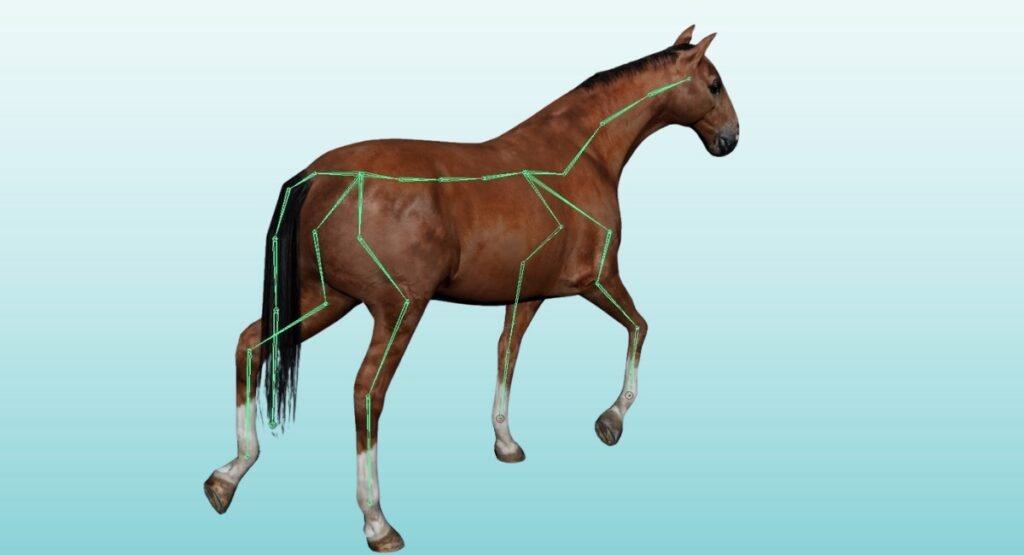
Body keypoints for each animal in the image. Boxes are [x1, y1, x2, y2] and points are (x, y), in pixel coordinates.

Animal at [204, 24, 739, 552]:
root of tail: (319, 177)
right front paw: (611, 421)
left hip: (324, 300)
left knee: (251, 346)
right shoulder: (597, 280)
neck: (579, 155)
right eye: (714, 85)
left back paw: (227, 478)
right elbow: (640, 328)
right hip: (397, 309)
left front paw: (506, 444)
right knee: (366, 392)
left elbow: (506, 355)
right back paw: (377, 522)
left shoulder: (526, 296)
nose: (730, 138)